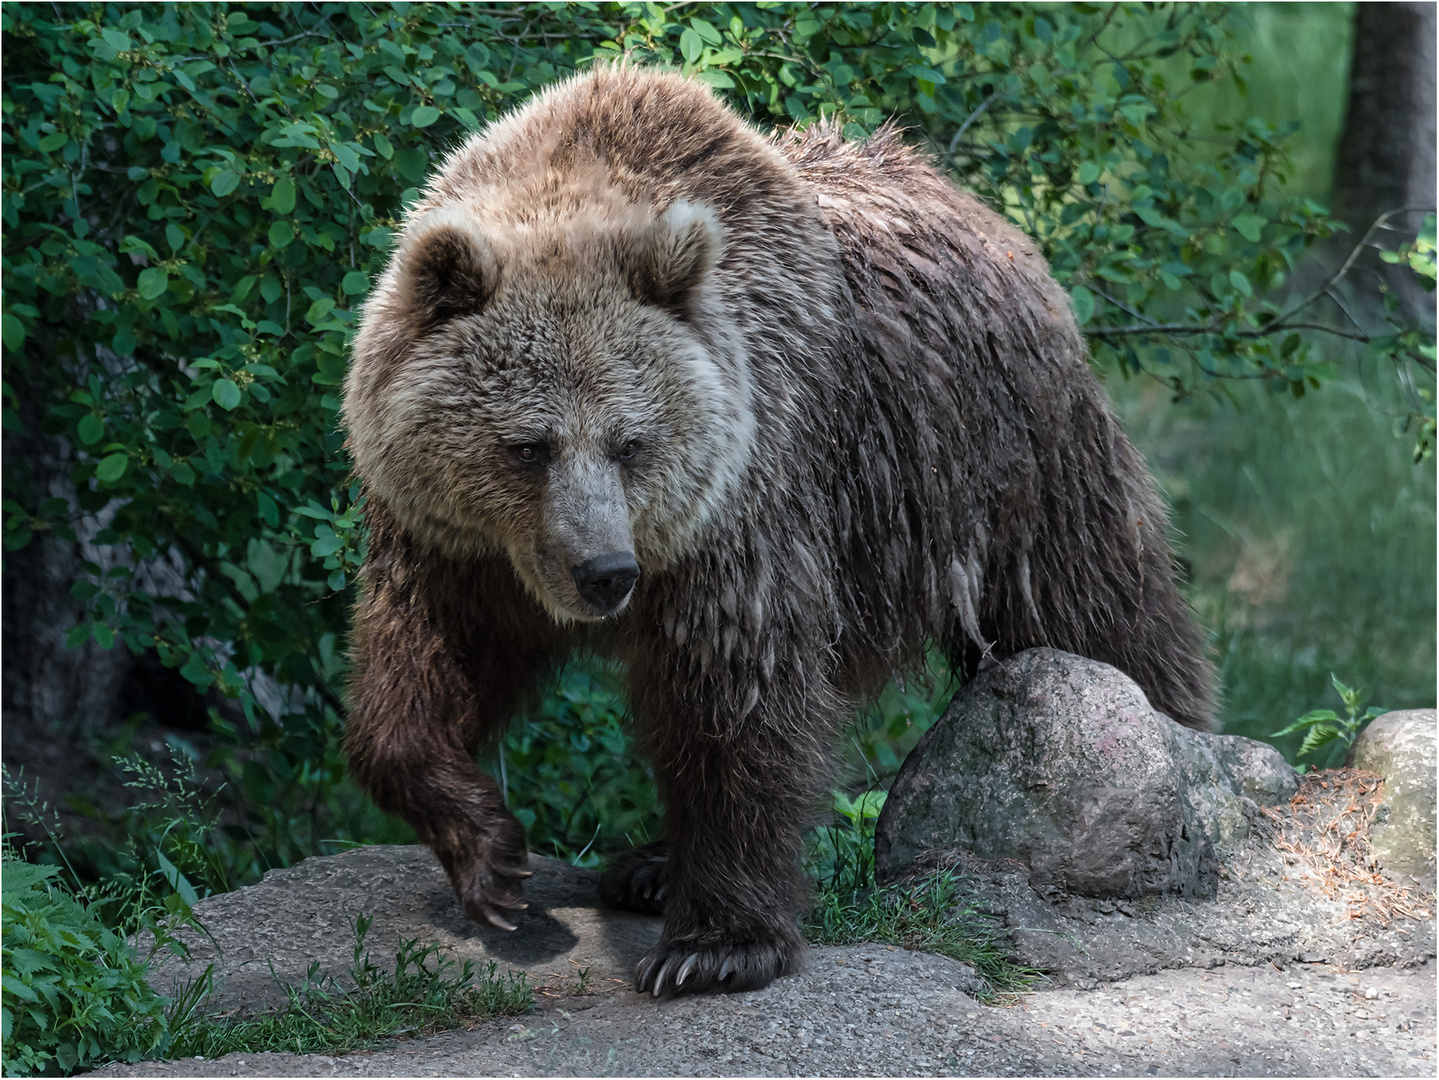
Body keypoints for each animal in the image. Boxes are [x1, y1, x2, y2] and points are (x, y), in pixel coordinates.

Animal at [339, 65, 1214, 995]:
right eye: (528, 444)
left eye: (630, 441)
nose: (604, 572)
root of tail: (989, 216)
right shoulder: (449, 540)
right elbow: (417, 670)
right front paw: (491, 857)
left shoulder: (747, 500)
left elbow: (737, 700)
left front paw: (714, 945)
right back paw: (648, 864)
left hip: (1004, 461)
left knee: (1097, 612)